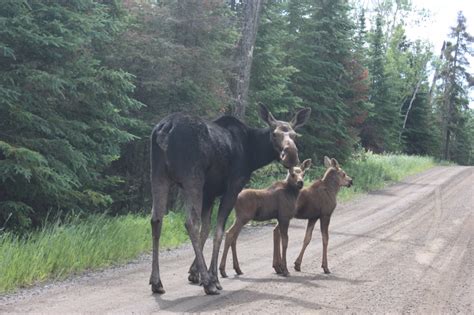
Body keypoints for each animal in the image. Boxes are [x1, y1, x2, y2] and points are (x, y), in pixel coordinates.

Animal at [149, 105, 312, 296]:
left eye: (295, 135)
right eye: (274, 134)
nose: (291, 156)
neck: (253, 155)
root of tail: (165, 128)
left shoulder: (210, 192)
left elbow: (206, 230)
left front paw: (194, 273)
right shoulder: (232, 187)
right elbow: (219, 231)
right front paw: (213, 278)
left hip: (158, 175)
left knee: (156, 219)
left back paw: (156, 282)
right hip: (192, 177)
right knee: (190, 223)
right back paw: (208, 284)